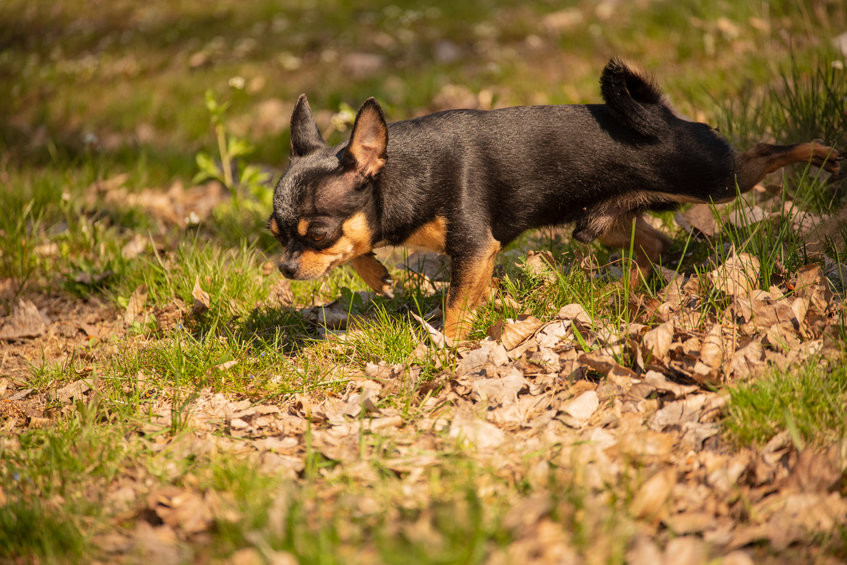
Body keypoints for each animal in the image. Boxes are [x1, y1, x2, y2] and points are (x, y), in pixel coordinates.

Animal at [270, 59, 840, 338]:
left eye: (317, 232)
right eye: (276, 237)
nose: (285, 269)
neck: (399, 173)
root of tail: (664, 118)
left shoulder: (473, 249)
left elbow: (455, 307)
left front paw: (447, 348)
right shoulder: (475, 255)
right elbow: (368, 252)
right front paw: (377, 274)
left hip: (717, 180)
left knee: (764, 152)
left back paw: (821, 151)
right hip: (608, 223)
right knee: (657, 247)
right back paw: (631, 293)